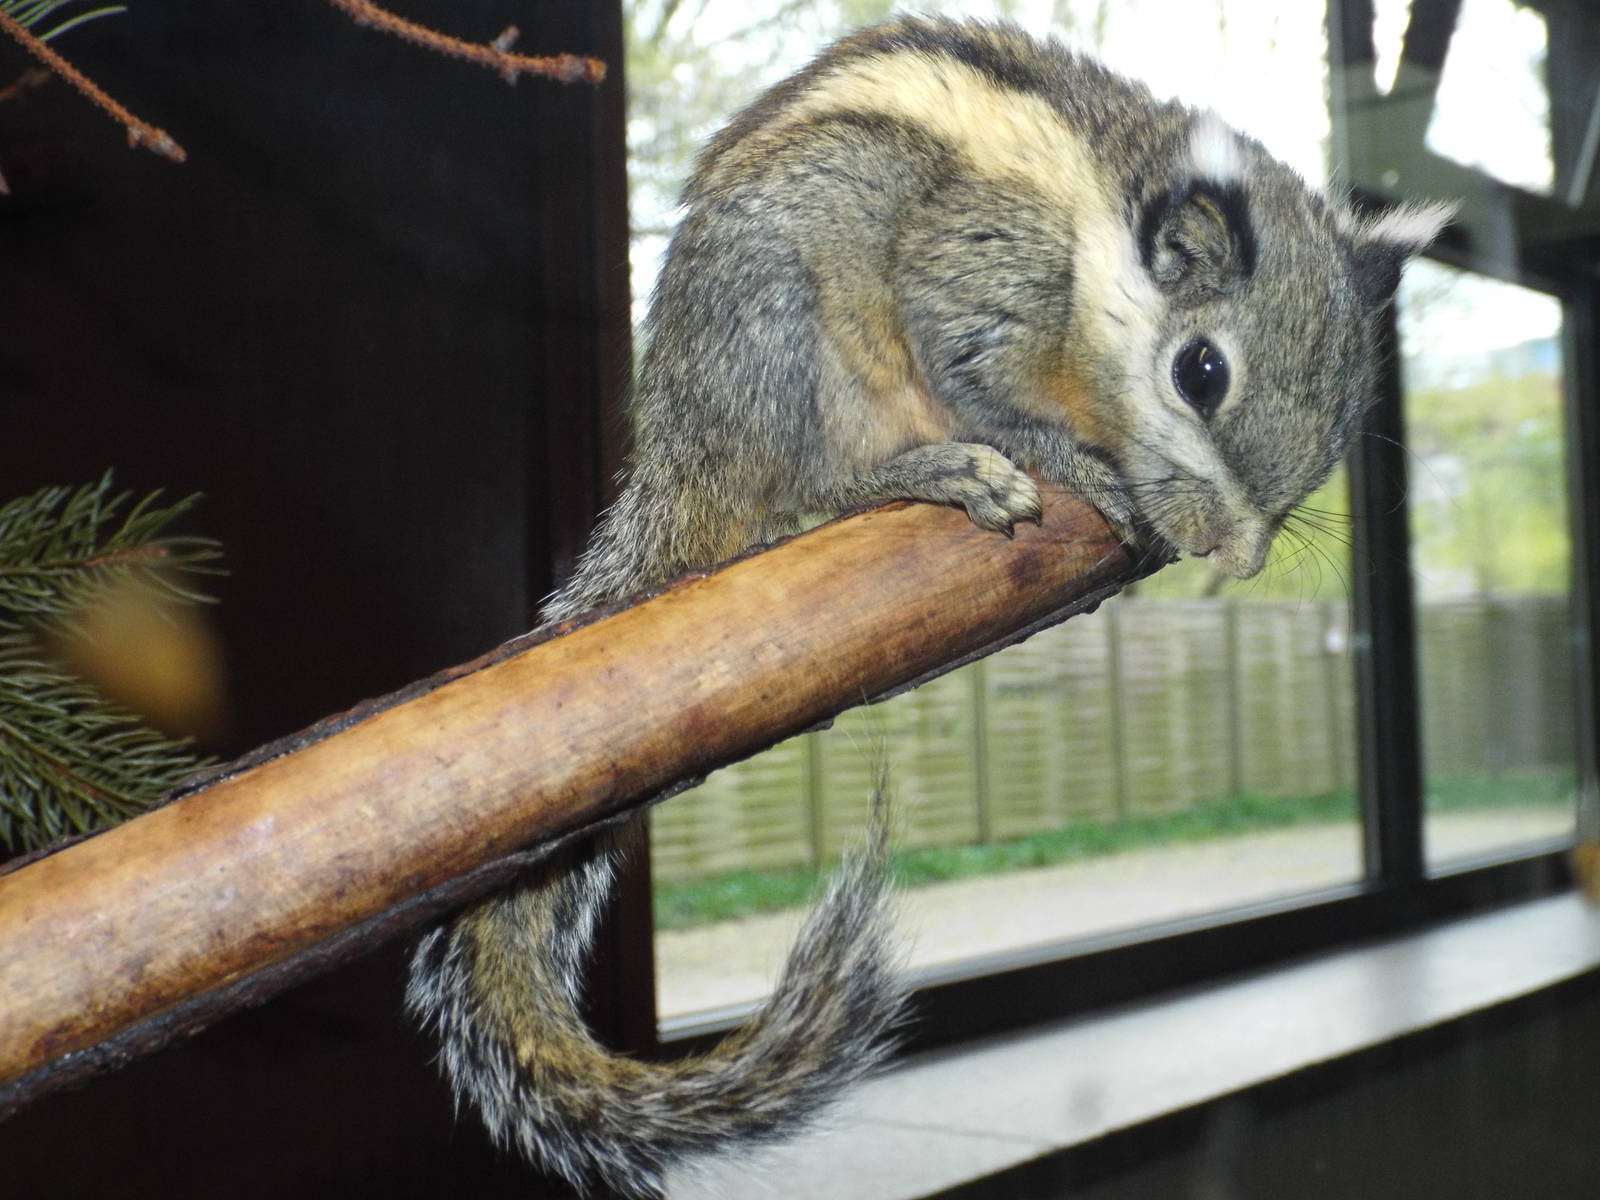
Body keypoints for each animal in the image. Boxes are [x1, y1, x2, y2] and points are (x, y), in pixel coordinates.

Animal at [405, 16, 1451, 1197]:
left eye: (1349, 410)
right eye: (1201, 371)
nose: (1234, 552)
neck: (1098, 254)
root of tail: (684, 445)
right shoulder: (978, 268)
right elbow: (976, 374)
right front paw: (1070, 465)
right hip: (788, 309)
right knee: (813, 488)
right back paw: (932, 472)